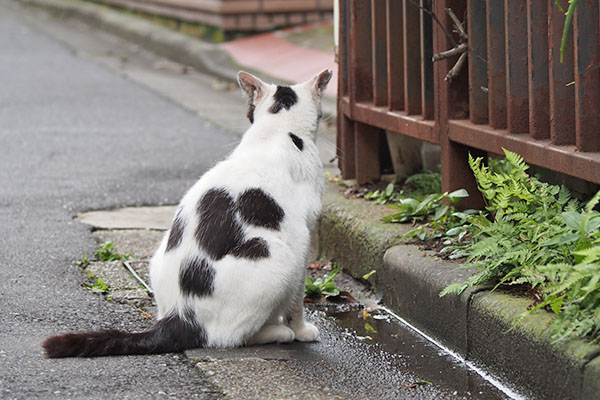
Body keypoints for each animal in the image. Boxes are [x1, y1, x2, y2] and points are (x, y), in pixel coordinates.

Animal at [42, 68, 332, 356]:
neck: (280, 131)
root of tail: (180, 316)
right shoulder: (305, 237)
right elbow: (297, 302)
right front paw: (302, 331)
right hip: (278, 255)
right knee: (232, 336)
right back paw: (278, 332)